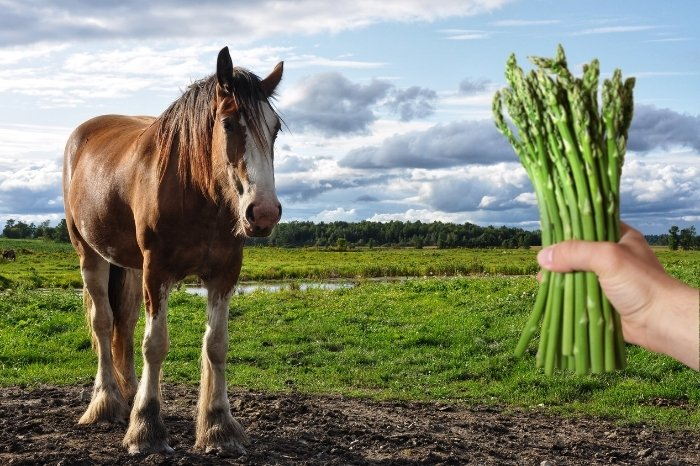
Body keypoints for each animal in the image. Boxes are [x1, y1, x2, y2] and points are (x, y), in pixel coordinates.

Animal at [62, 47, 283, 455]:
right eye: (228, 124)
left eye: (274, 128)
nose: (263, 213)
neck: (196, 191)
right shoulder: (157, 271)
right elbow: (155, 344)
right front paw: (146, 428)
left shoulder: (225, 273)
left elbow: (216, 344)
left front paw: (218, 426)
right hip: (91, 254)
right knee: (104, 323)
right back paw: (106, 402)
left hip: (130, 266)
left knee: (124, 322)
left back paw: (129, 394)